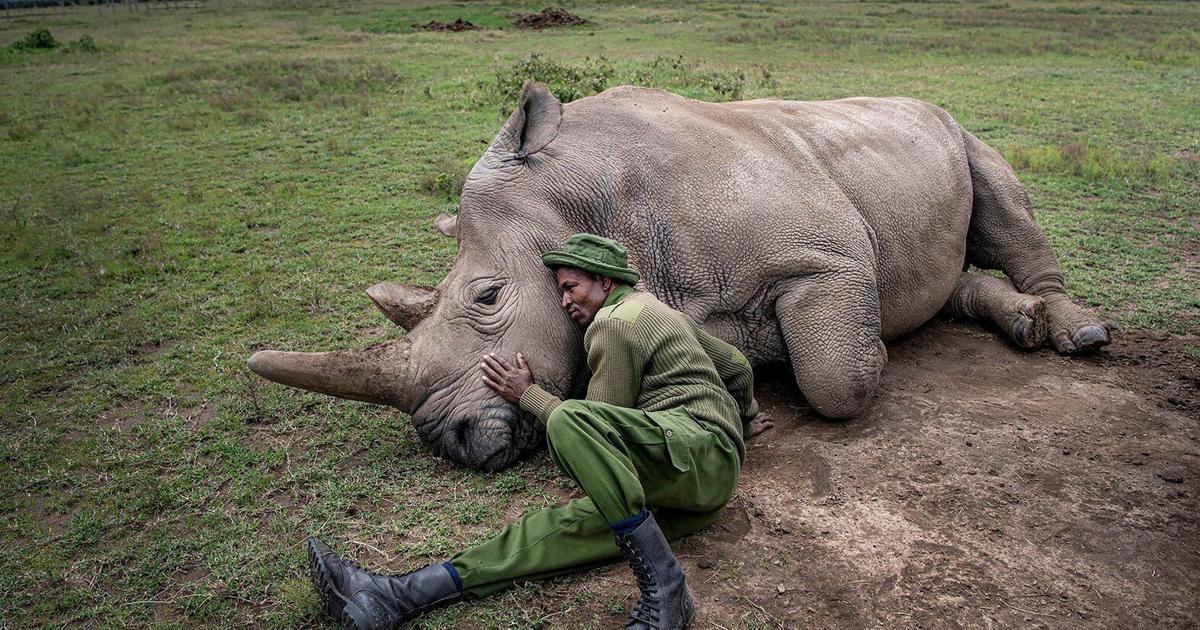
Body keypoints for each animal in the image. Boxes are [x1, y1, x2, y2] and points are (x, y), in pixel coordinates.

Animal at [247, 83, 1109, 471]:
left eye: (487, 297)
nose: (450, 442)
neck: (579, 190)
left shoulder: (826, 258)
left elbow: (835, 377)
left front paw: (860, 361)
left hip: (955, 127)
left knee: (1002, 196)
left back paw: (1079, 334)